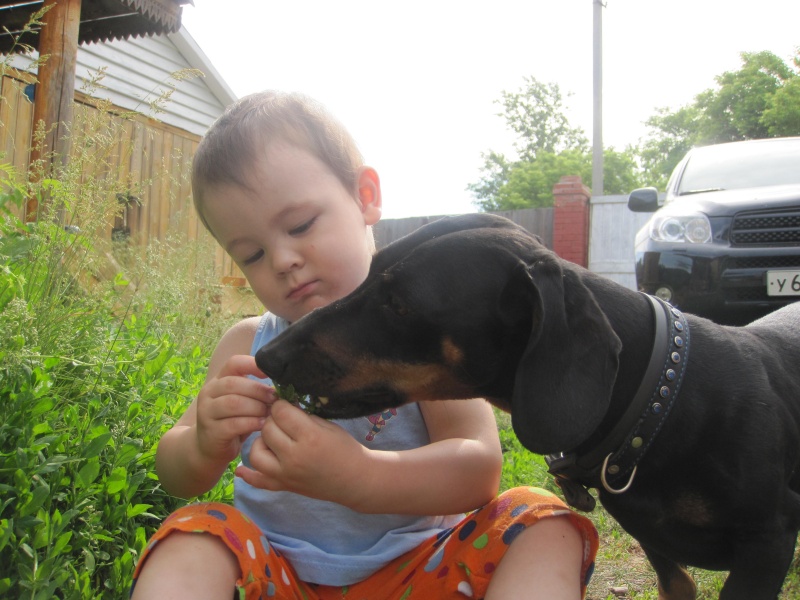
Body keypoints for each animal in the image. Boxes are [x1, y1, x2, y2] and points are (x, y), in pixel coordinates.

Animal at [255, 213, 800, 600]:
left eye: (399, 303)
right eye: (368, 273)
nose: (266, 357)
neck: (663, 402)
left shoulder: (767, 545)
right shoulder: (661, 551)